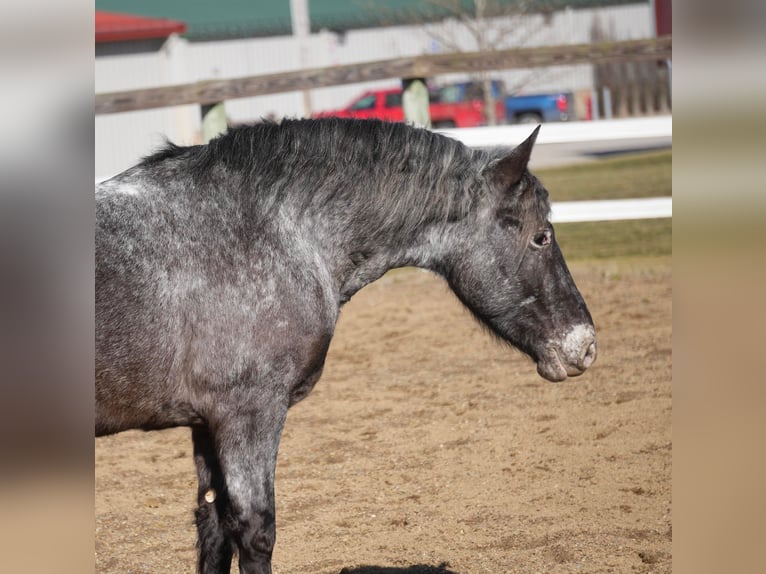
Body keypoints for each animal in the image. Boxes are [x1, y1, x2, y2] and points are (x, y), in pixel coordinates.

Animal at [96, 118, 596, 574]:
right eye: (541, 236)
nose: (585, 344)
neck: (265, 230)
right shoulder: (248, 414)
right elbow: (256, 531)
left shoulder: (206, 423)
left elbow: (214, 529)